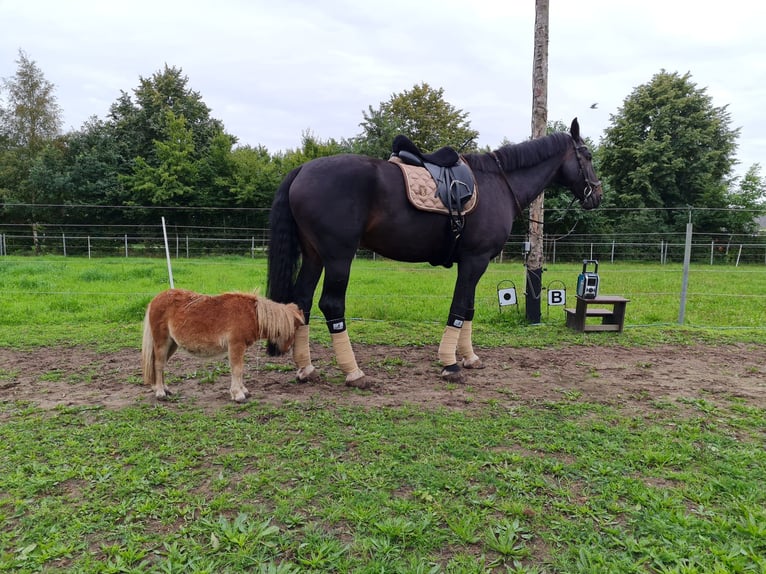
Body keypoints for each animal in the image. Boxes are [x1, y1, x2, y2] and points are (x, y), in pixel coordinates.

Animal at [142, 290, 304, 402]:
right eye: (294, 328)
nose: (285, 350)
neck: (251, 314)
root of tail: (155, 299)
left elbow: (240, 369)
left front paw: (243, 390)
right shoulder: (236, 345)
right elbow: (237, 369)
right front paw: (238, 394)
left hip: (172, 344)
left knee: (160, 364)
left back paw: (163, 388)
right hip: (162, 342)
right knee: (158, 364)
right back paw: (160, 392)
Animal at [268, 117, 604, 390]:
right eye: (587, 156)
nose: (597, 195)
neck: (498, 183)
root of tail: (302, 169)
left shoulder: (474, 262)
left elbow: (468, 308)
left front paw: (469, 357)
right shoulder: (475, 260)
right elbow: (458, 308)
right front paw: (450, 363)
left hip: (315, 256)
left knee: (301, 301)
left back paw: (306, 368)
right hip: (338, 257)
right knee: (331, 305)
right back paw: (354, 372)